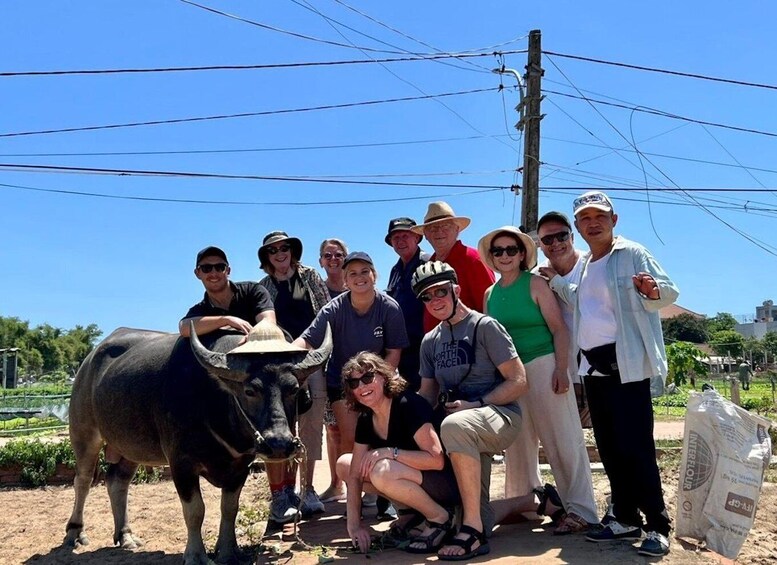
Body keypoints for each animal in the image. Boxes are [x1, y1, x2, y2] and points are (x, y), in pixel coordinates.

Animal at [66, 320, 330, 560]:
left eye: (293, 389)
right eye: (250, 391)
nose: (278, 444)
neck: (213, 400)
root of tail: (88, 362)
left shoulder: (240, 466)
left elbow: (229, 508)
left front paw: (229, 551)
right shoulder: (181, 464)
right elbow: (195, 511)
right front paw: (195, 555)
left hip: (130, 446)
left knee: (117, 481)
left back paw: (126, 536)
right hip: (84, 433)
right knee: (83, 480)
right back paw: (74, 534)